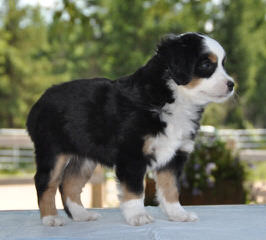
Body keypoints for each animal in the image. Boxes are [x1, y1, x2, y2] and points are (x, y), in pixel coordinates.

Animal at [26, 32, 235, 226]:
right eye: (206, 65)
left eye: (223, 64)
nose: (232, 84)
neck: (172, 97)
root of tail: (39, 103)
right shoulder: (132, 155)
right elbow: (134, 190)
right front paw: (138, 216)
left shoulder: (175, 155)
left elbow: (171, 188)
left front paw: (177, 214)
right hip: (53, 151)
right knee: (44, 181)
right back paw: (50, 218)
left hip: (84, 157)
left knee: (69, 183)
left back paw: (81, 215)